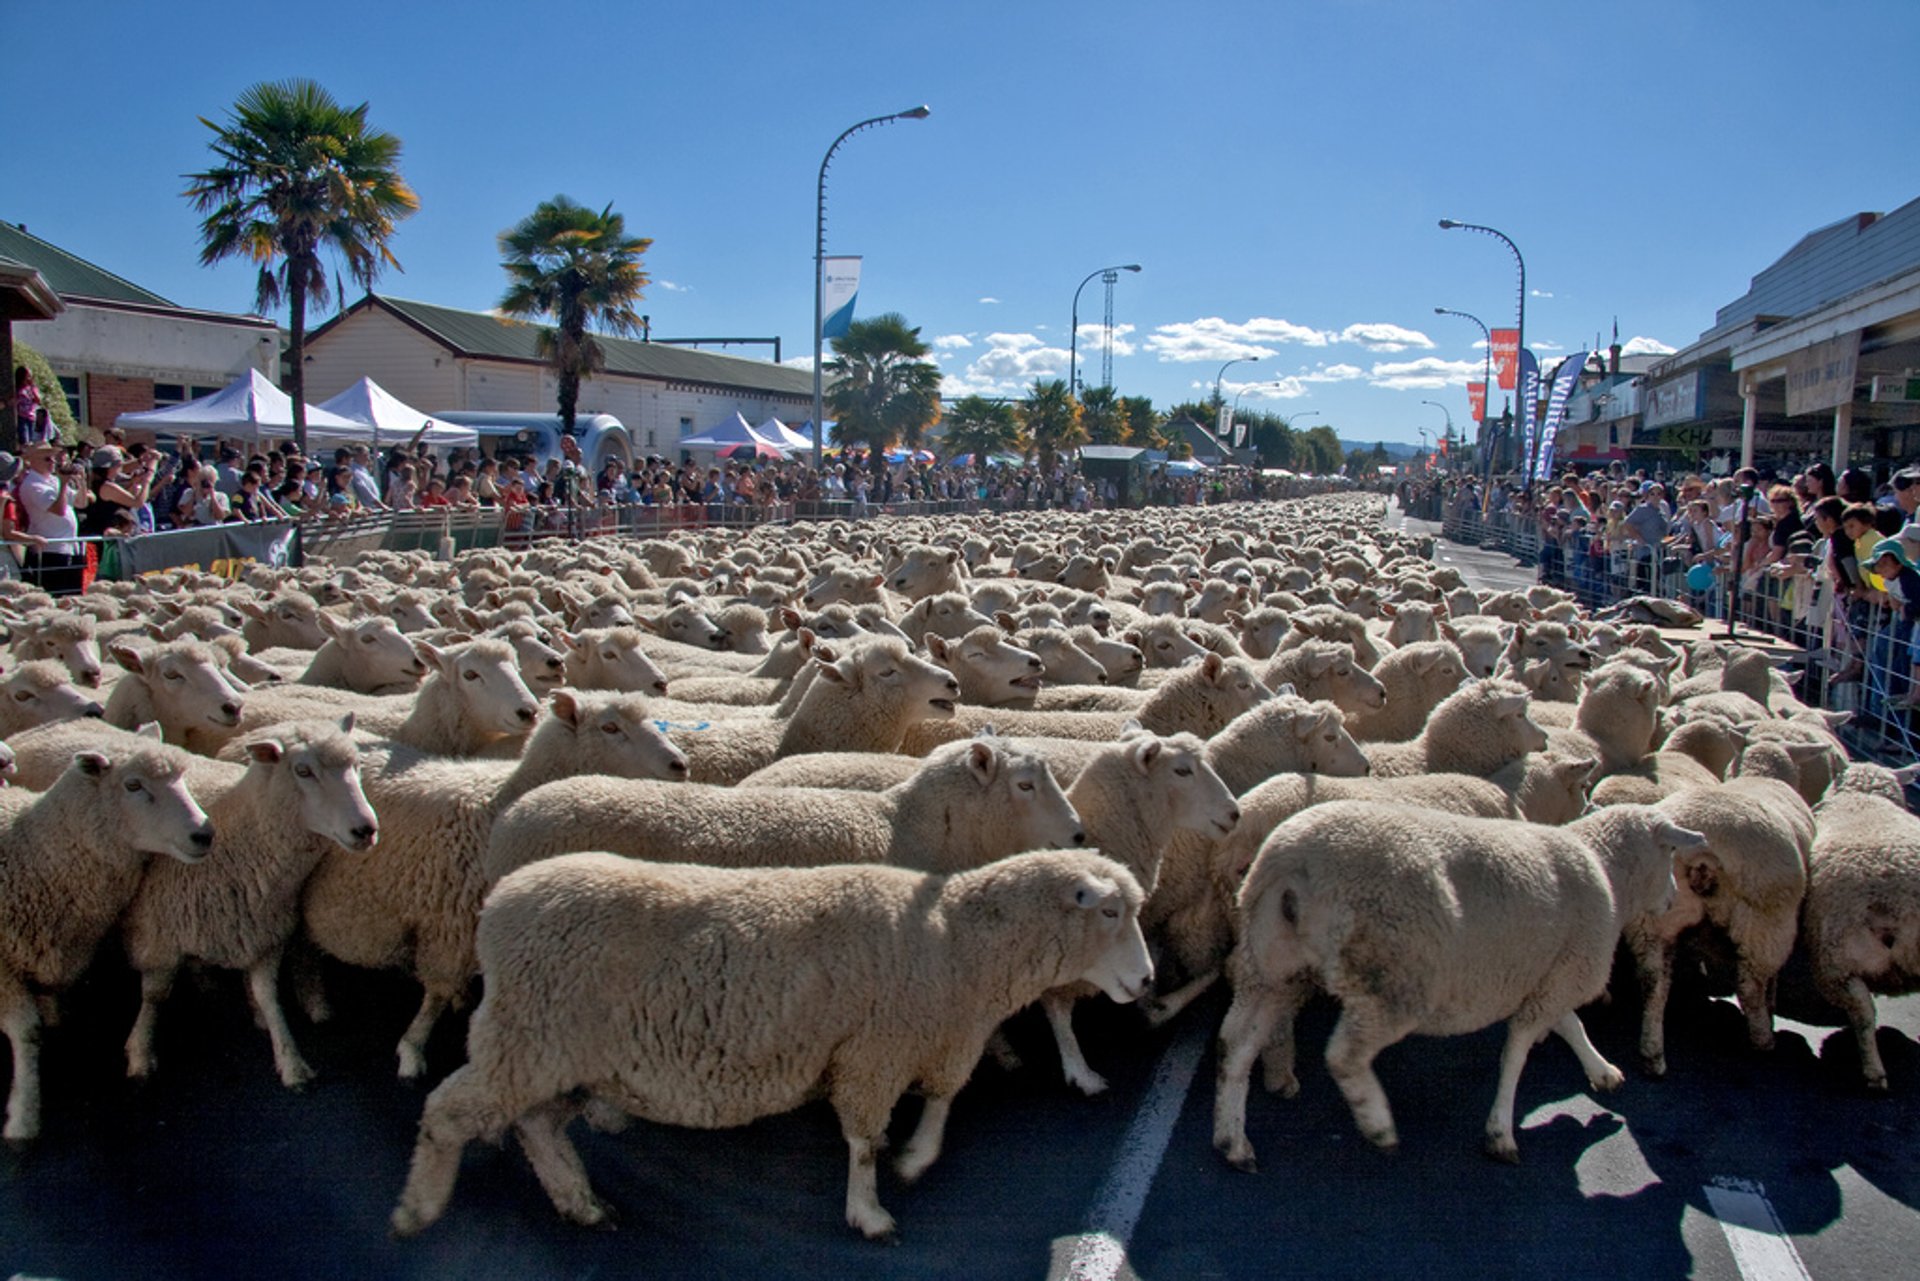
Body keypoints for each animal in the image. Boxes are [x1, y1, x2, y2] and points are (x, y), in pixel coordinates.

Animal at [382, 845, 1144, 1236]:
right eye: (1109, 911)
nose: (1146, 979)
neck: (956, 940)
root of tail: (498, 902)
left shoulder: (929, 1037)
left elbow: (942, 1102)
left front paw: (916, 1159)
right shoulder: (874, 1052)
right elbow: (863, 1139)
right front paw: (869, 1211)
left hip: (564, 1056)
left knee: (536, 1124)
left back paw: (580, 1201)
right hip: (527, 1035)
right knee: (450, 1112)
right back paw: (418, 1208)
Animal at [1221, 810, 1704, 1175]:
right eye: (1671, 850)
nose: (1673, 897)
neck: (1606, 871)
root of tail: (1291, 861)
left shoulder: (1550, 975)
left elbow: (1570, 1025)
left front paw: (1601, 1071)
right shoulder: (1563, 974)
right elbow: (1517, 1053)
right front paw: (1501, 1133)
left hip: (1270, 966)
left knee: (1237, 1044)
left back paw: (1231, 1141)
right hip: (1394, 975)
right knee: (1344, 1055)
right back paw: (1377, 1124)